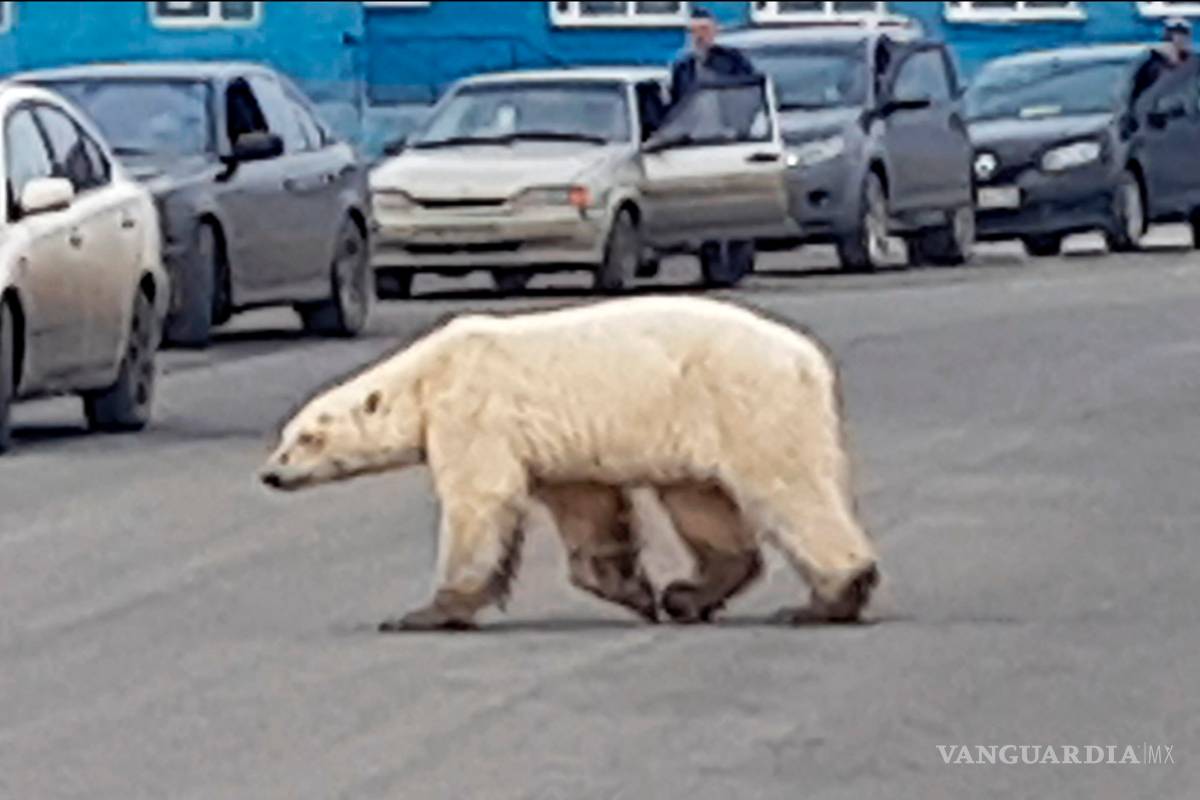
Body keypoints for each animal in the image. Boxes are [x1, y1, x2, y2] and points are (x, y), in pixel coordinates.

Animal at [258, 295, 880, 630]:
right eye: (285, 436)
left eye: (308, 438)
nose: (271, 473)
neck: (428, 372)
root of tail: (810, 359)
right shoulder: (559, 444)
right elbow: (587, 508)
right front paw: (636, 592)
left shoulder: (473, 410)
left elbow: (479, 499)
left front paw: (424, 614)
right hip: (698, 422)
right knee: (701, 500)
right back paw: (687, 595)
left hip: (745, 400)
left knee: (788, 487)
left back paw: (827, 599)